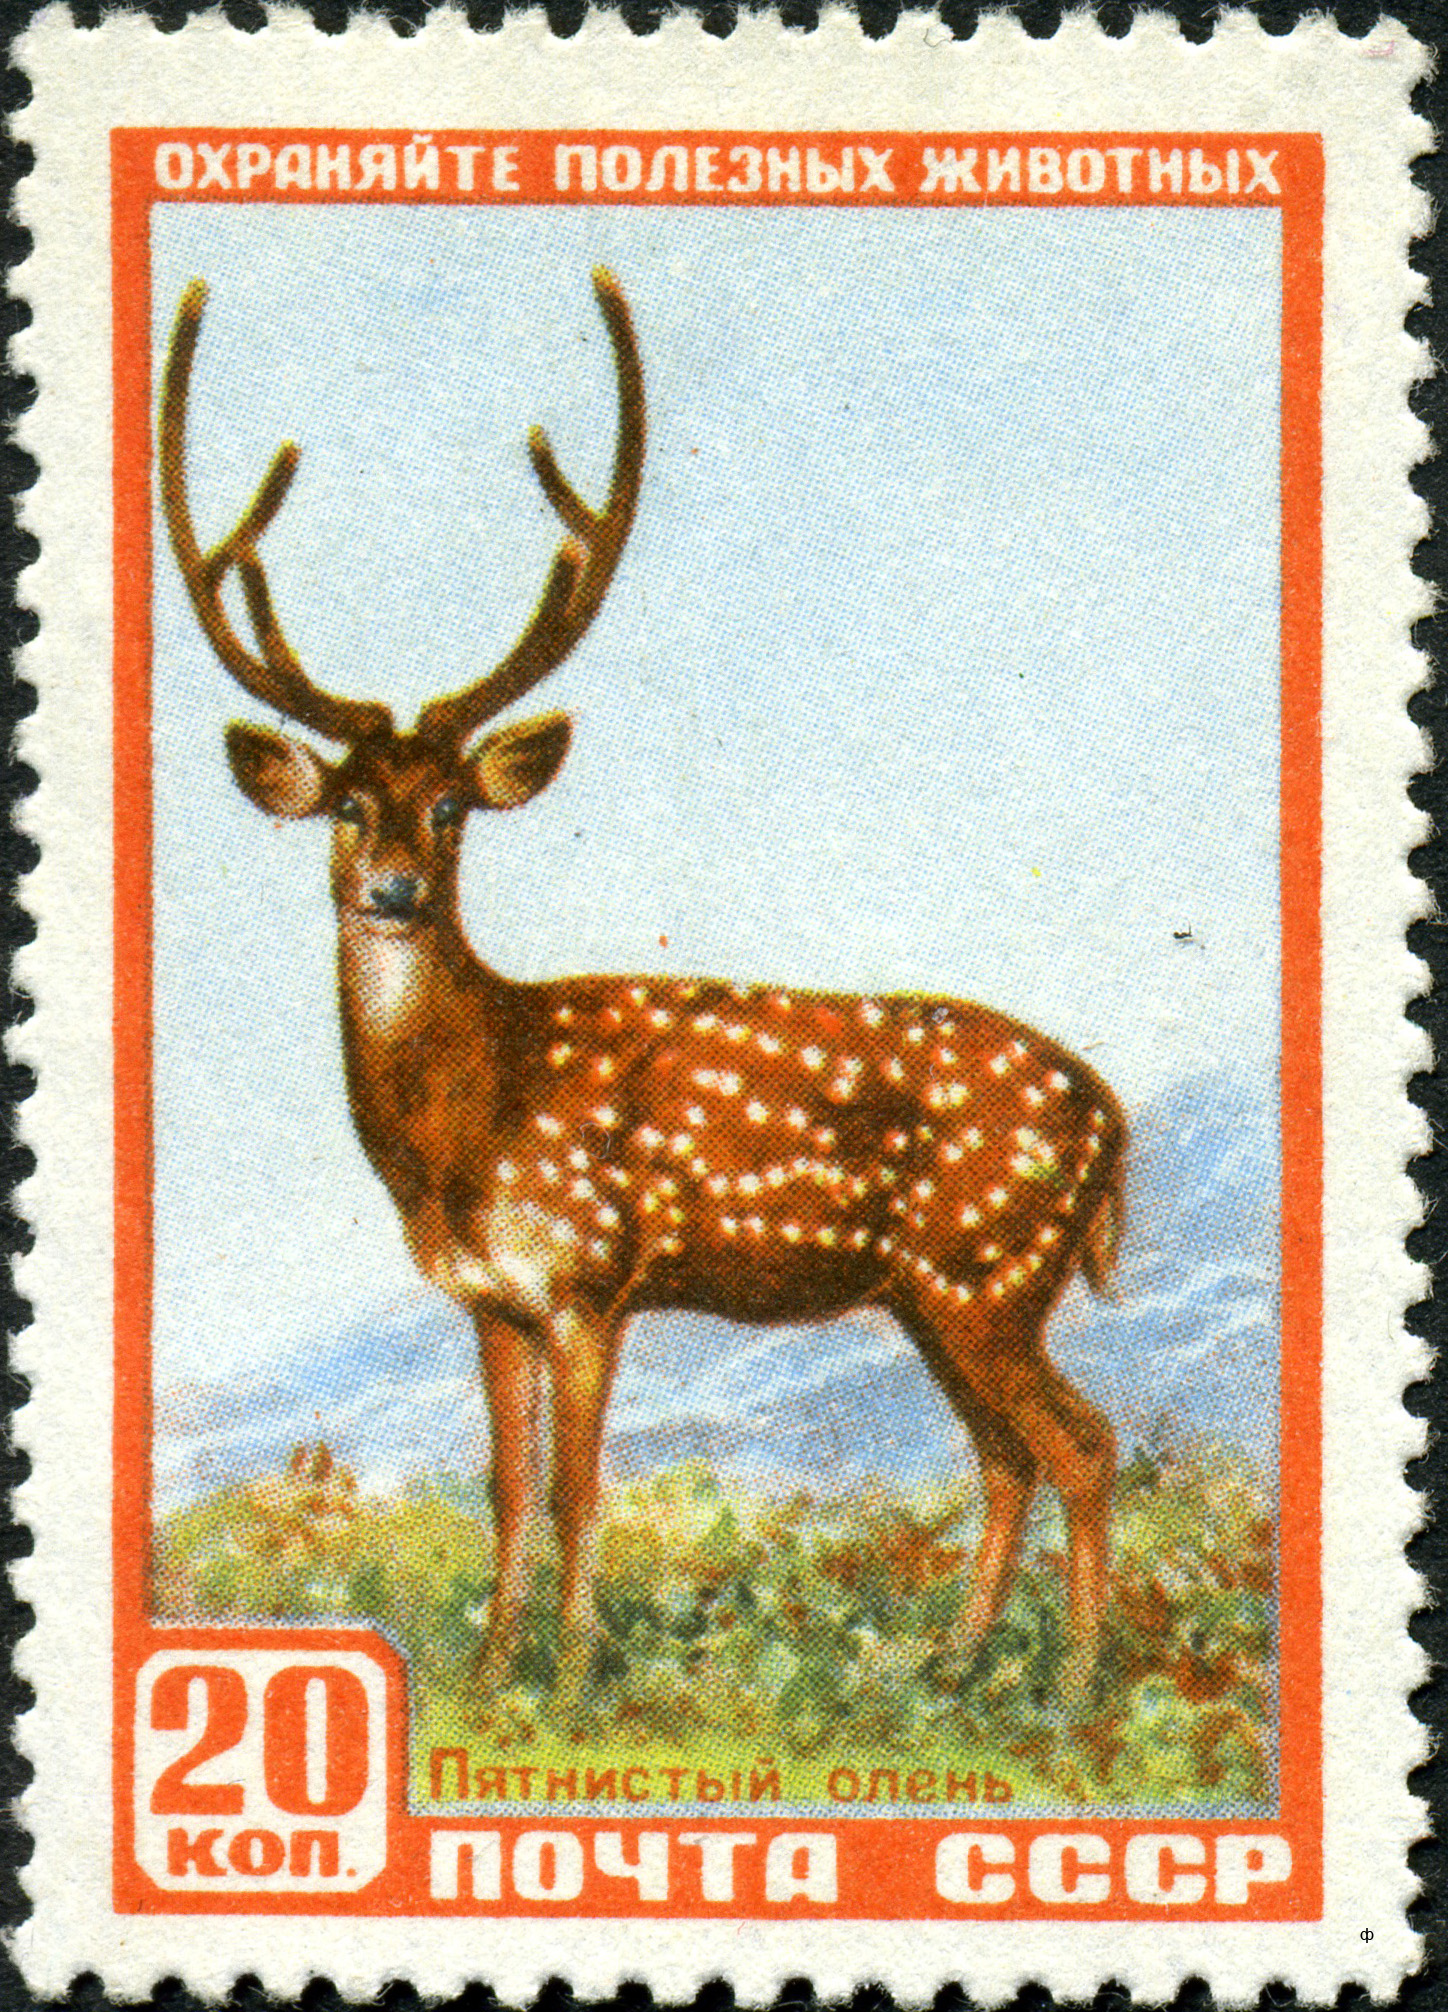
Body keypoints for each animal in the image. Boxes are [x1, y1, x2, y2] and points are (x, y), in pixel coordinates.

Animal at [159, 269, 1128, 1705]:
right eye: (344, 804)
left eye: (448, 806)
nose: (391, 888)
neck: (463, 1120)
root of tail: (1111, 1121)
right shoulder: (490, 1299)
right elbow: (505, 1487)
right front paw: (487, 1676)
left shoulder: (590, 1271)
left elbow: (576, 1487)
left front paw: (568, 1680)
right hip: (938, 1292)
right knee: (1008, 1452)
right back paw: (951, 1666)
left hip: (987, 1266)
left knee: (1083, 1441)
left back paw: (1069, 1689)